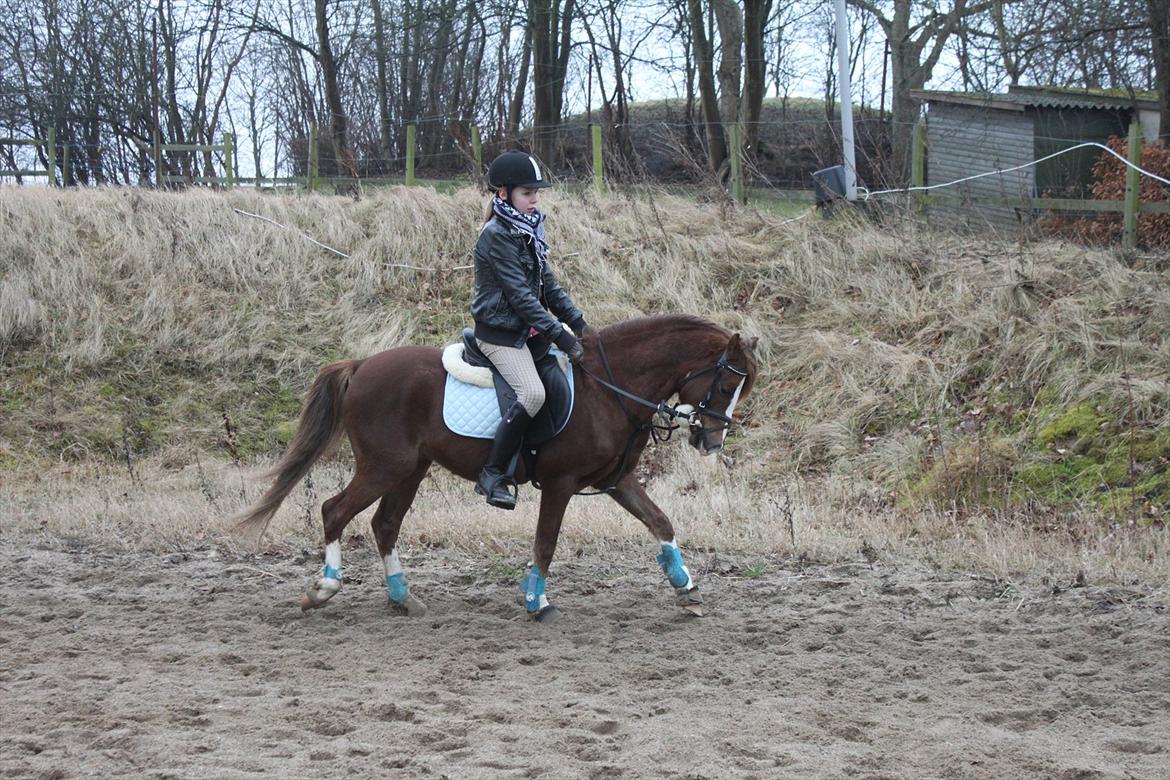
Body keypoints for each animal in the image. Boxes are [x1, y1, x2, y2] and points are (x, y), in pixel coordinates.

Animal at [234, 314, 759, 622]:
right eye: (724, 383)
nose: (711, 441)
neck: (609, 389)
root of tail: (362, 365)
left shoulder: (615, 480)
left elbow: (660, 522)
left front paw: (686, 587)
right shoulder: (561, 483)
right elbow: (546, 543)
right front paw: (536, 601)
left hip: (410, 470)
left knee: (384, 524)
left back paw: (402, 597)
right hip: (385, 466)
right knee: (334, 511)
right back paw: (324, 588)